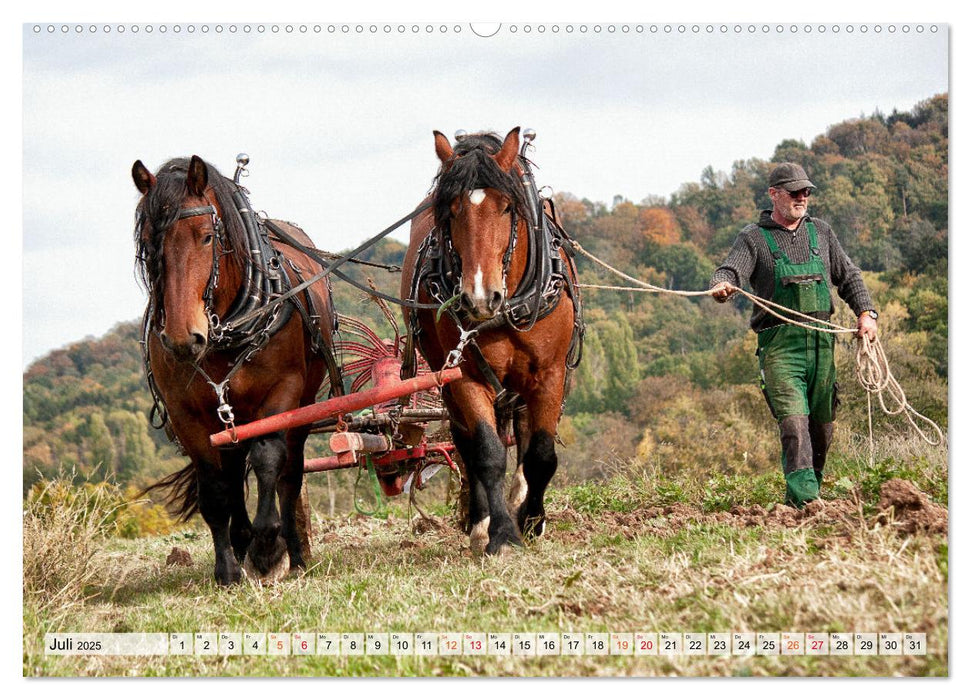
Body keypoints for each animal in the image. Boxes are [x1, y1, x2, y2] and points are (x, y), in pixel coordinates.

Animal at [133, 157, 338, 584]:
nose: (183, 338)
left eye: (207, 237)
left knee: (289, 472)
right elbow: (215, 489)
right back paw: (241, 540)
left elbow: (268, 459)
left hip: (302, 405)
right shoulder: (186, 414)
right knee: (230, 470)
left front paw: (267, 549)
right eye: (148, 244)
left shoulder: (283, 391)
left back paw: (293, 552)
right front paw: (227, 569)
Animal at [402, 126, 584, 552]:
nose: (480, 297)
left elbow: (541, 455)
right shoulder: (465, 376)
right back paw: (479, 520)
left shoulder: (550, 374)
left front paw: (532, 521)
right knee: (466, 443)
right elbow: (487, 453)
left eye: (506, 208)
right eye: (451, 211)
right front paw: (501, 533)